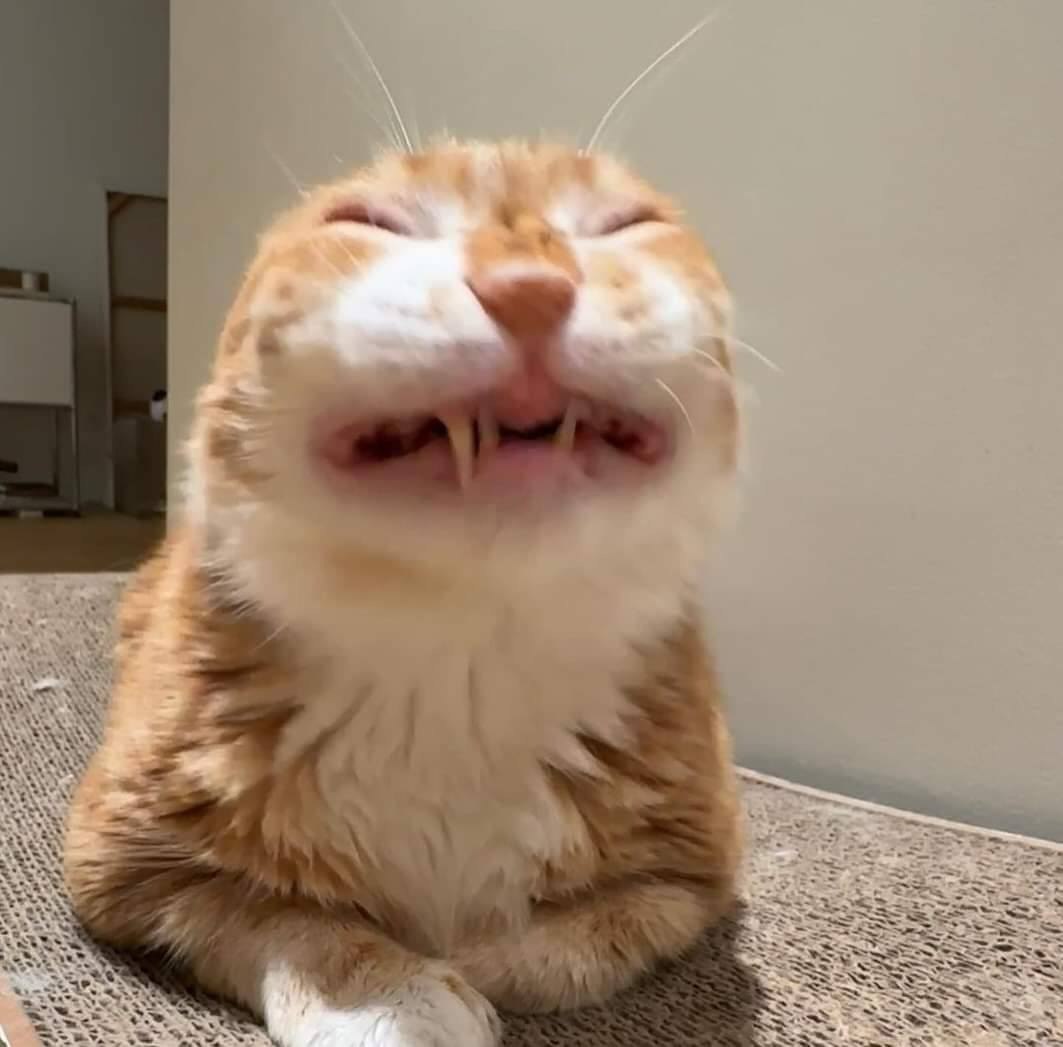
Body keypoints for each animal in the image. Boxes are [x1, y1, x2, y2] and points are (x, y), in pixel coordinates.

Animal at [63, 137, 745, 1047]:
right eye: (366, 222)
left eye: (626, 225)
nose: (527, 283)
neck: (461, 669)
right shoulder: (126, 872)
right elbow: (283, 918)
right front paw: (393, 996)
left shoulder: (695, 873)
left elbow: (587, 935)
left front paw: (486, 955)